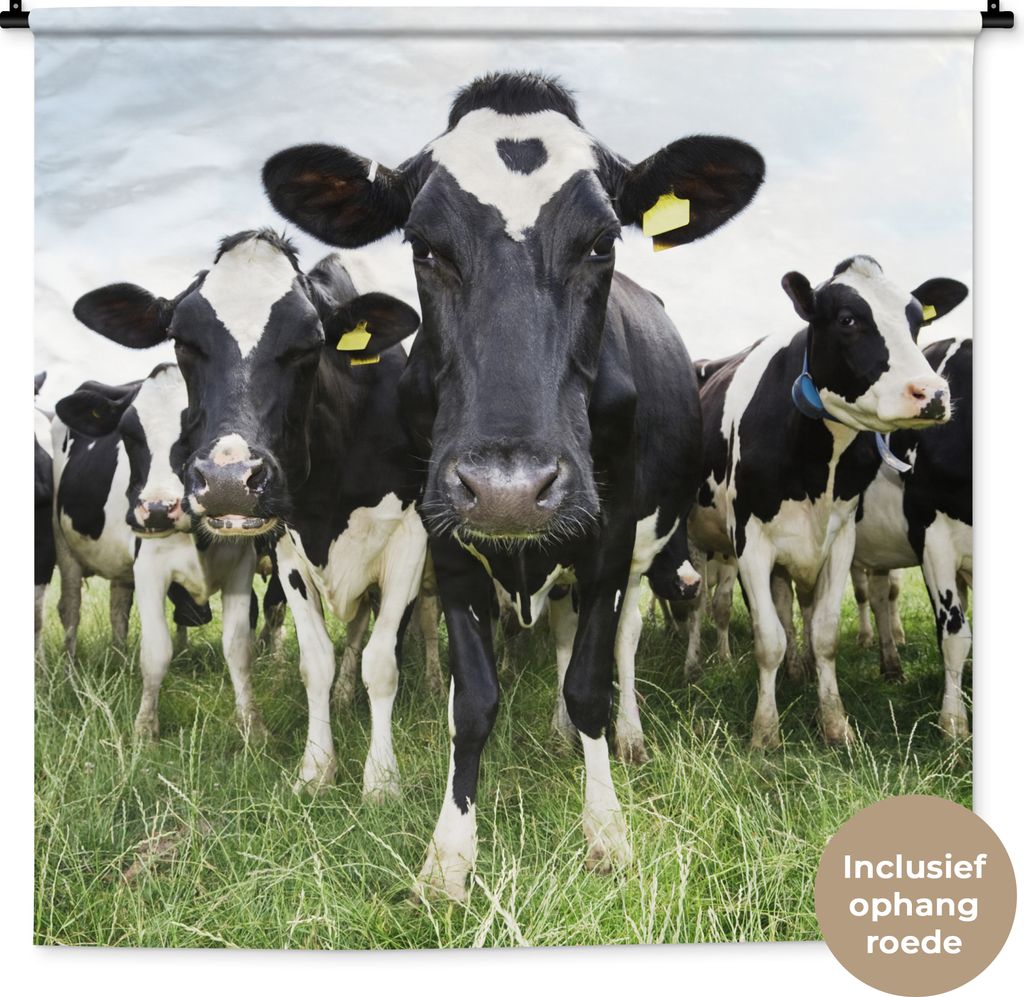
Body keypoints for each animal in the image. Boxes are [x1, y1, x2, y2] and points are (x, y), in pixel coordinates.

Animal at [71, 230, 428, 801]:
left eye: (310, 343)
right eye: (183, 341)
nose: (227, 482)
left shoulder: (409, 543)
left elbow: (382, 662)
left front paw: (381, 780)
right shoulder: (287, 549)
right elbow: (315, 662)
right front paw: (316, 768)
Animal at [261, 71, 766, 900]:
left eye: (602, 242)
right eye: (424, 246)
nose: (509, 488)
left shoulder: (609, 535)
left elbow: (590, 681)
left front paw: (606, 830)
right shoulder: (445, 538)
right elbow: (473, 700)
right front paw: (449, 855)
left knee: (619, 644)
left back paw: (621, 737)